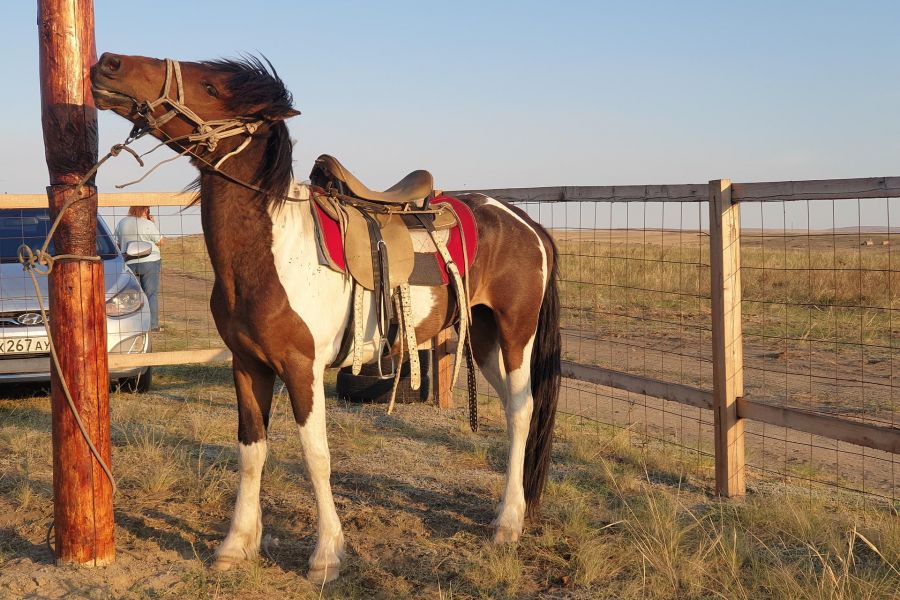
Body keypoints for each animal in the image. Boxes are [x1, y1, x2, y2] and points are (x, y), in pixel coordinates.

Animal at [88, 51, 560, 580]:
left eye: (210, 86)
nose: (109, 63)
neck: (271, 250)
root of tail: (526, 222)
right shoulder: (247, 365)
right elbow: (251, 452)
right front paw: (236, 545)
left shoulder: (302, 368)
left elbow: (316, 456)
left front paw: (326, 554)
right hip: (483, 340)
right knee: (517, 409)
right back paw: (505, 513)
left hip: (516, 334)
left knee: (522, 410)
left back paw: (509, 525)